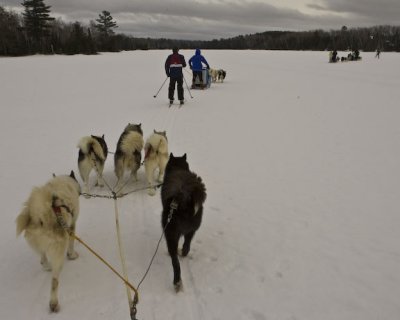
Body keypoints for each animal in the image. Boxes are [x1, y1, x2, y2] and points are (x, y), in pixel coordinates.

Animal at [16, 172, 80, 312]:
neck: (63, 181)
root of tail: (39, 216)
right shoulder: (72, 226)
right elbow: (71, 243)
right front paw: (72, 255)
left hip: (37, 242)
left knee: (42, 256)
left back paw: (46, 265)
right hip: (58, 251)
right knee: (54, 281)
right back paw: (53, 303)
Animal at [162, 154, 208, 292]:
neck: (178, 168)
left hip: (170, 233)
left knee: (175, 261)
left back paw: (177, 281)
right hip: (192, 229)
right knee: (187, 244)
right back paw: (183, 252)